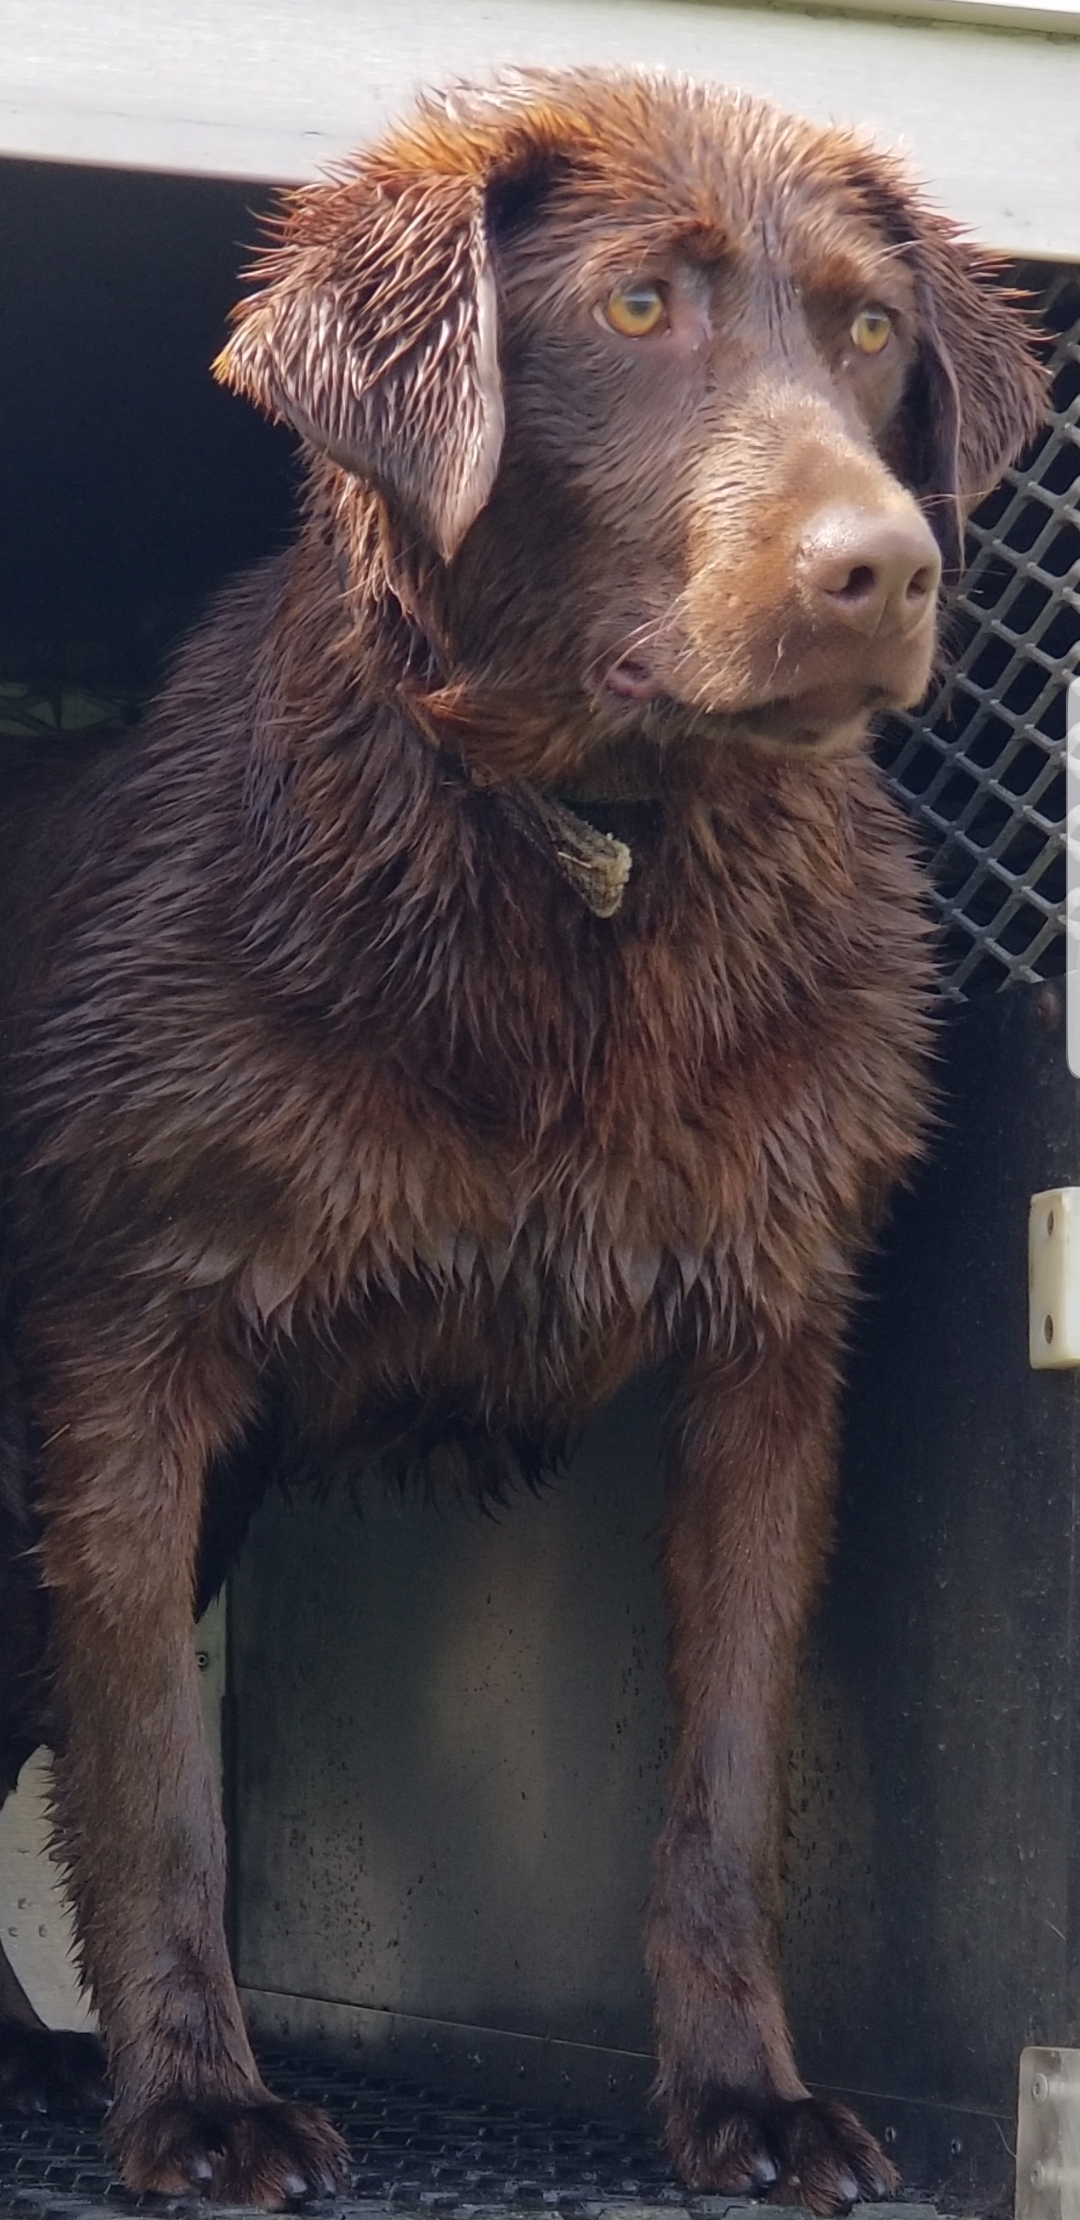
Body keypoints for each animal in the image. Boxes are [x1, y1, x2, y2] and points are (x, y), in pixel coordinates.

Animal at [0, 69, 1044, 2220]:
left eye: (871, 333)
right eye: (638, 309)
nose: (888, 565)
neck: (592, 883)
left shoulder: (772, 1351)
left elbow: (727, 1789)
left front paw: (746, 2098)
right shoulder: (127, 1346)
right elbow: (154, 1783)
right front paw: (200, 2106)